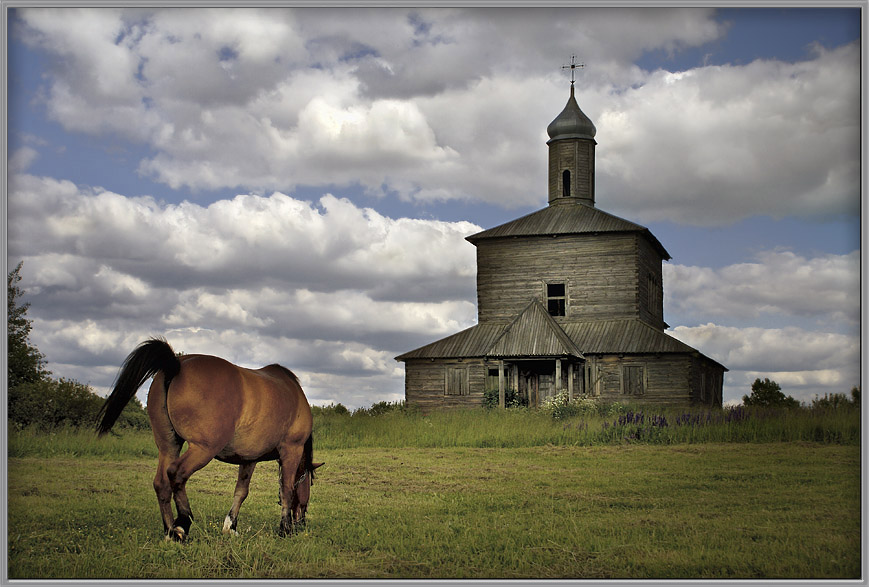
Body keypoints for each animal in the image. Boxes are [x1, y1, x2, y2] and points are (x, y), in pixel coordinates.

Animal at [97, 340, 322, 544]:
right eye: (310, 484)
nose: (302, 523)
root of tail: (175, 364)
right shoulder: (291, 450)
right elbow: (287, 489)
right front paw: (285, 528)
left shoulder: (249, 459)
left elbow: (241, 491)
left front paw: (231, 527)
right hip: (202, 449)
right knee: (176, 474)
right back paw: (182, 523)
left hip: (168, 445)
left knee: (161, 483)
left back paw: (170, 531)